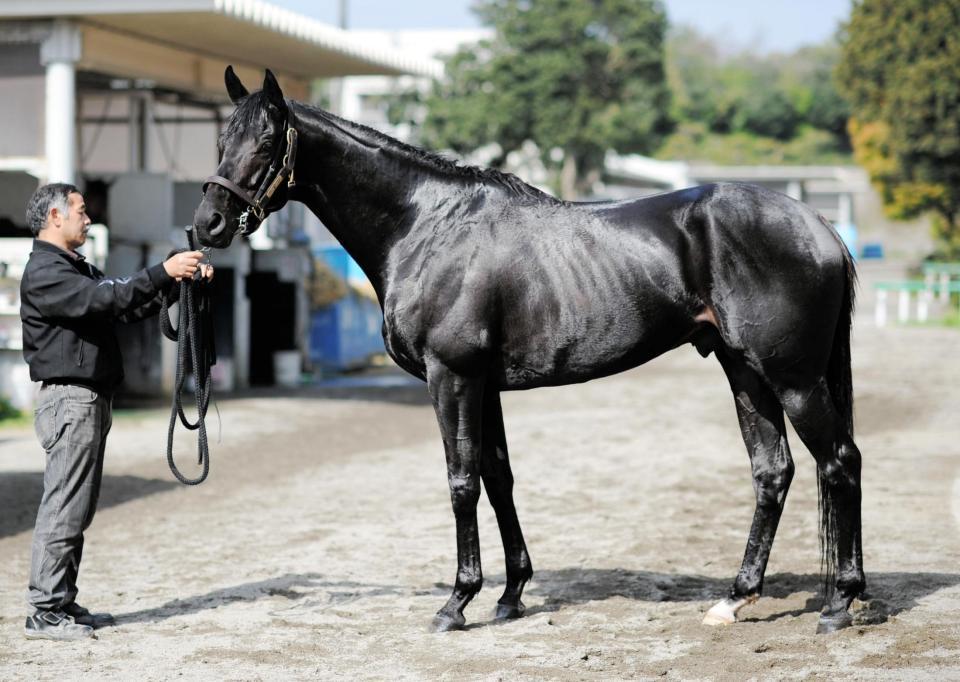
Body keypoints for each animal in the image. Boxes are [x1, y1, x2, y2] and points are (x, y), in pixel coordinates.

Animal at [193, 69, 864, 632]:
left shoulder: (452, 378)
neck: (425, 226)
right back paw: (735, 598)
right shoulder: (484, 385)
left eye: (266, 140)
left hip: (794, 378)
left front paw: (457, 603)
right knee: (773, 471)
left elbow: (461, 481)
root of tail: (822, 229)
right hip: (743, 369)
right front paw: (511, 594)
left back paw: (840, 602)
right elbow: (498, 478)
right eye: (221, 138)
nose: (209, 225)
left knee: (840, 462)